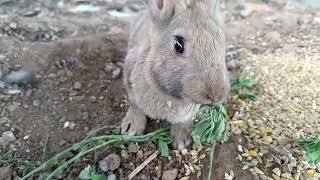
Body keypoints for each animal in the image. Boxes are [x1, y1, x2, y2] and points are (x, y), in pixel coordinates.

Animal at [121, 0, 229, 150]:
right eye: (178, 44)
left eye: (222, 42)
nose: (217, 95)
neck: (169, 95)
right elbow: (134, 104)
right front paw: (131, 127)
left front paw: (181, 140)